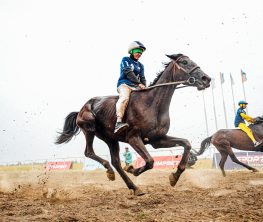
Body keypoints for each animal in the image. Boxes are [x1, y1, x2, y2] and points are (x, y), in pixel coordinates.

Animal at [56, 53, 212, 194]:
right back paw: (110, 171)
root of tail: (80, 110)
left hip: (111, 139)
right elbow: (150, 161)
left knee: (116, 162)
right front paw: (133, 169)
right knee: (90, 152)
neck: (152, 104)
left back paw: (133, 187)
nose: (206, 79)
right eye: (184, 62)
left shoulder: (157, 140)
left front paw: (174, 176)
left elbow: (186, 144)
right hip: (89, 128)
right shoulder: (133, 137)